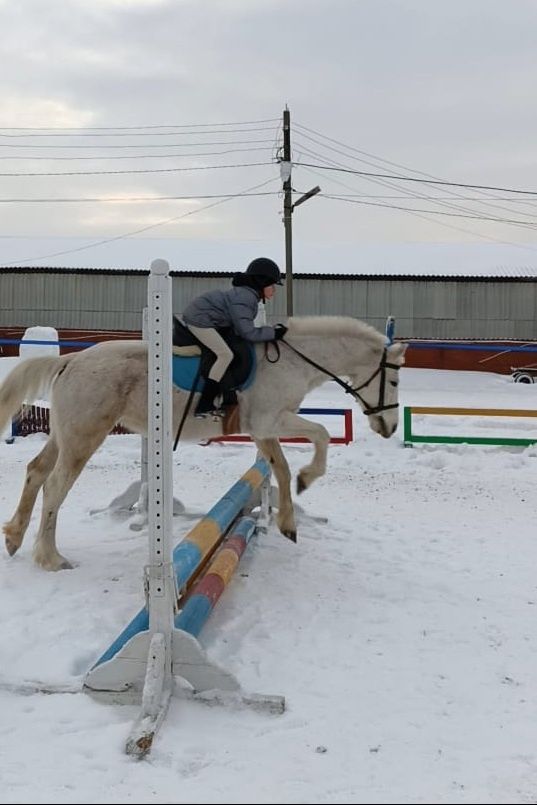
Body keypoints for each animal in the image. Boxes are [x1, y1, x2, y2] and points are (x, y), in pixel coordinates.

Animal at [0, 316, 404, 572]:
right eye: (395, 382)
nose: (389, 427)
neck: (292, 361)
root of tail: (70, 360)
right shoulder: (271, 421)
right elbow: (319, 434)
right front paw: (309, 479)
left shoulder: (263, 430)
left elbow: (281, 471)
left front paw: (288, 523)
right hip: (84, 436)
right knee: (55, 486)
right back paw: (51, 558)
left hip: (65, 434)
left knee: (36, 472)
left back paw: (14, 538)